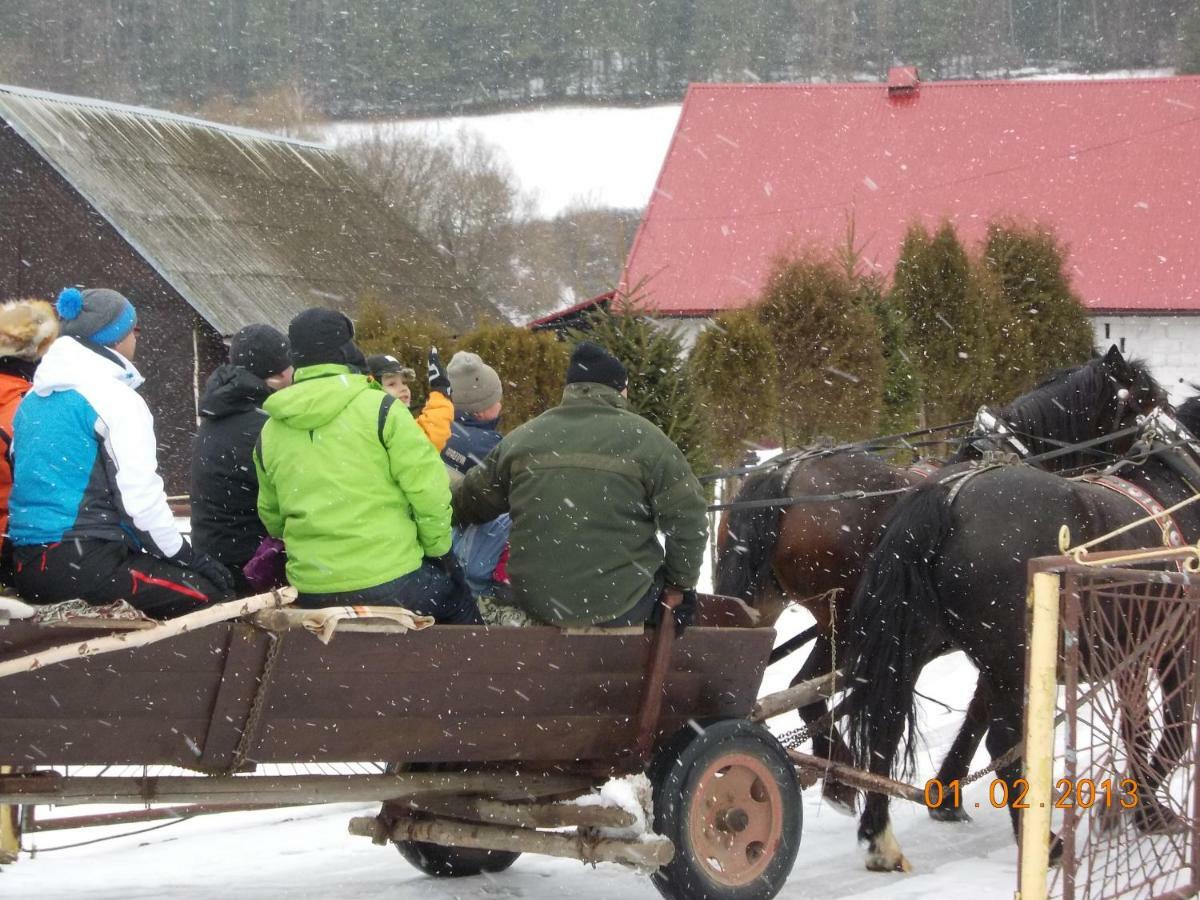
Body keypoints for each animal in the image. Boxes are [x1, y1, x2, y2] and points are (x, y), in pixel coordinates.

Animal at [710, 348, 1161, 816]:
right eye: (1147, 400)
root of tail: (784, 475)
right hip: (838, 621)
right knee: (806, 691)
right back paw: (840, 776)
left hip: (767, 605)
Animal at [844, 400, 1200, 873]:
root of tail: (946, 497)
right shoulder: (1177, 643)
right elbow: (1175, 730)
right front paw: (1138, 809)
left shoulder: (1129, 654)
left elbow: (1134, 729)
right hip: (1012, 656)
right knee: (1002, 743)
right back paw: (1047, 846)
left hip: (920, 644)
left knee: (885, 727)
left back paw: (881, 840)